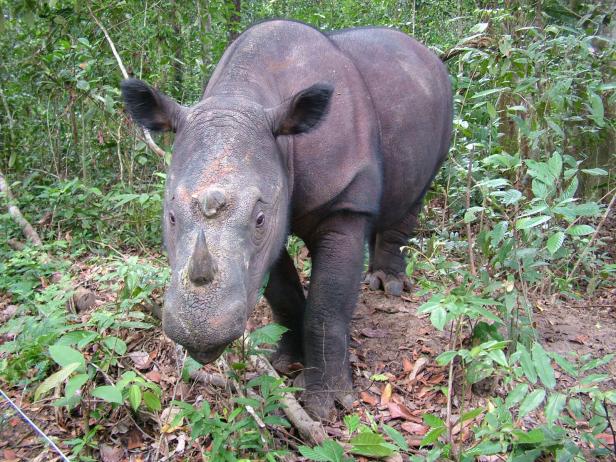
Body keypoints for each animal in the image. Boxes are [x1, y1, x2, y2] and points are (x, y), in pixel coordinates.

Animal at [122, 19, 454, 420]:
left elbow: (326, 308)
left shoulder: (343, 203)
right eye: (170, 216)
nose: (198, 330)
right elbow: (282, 295)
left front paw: (326, 404)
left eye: (259, 218)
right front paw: (282, 362)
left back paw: (387, 286)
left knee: (417, 192)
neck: (244, 96)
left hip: (444, 102)